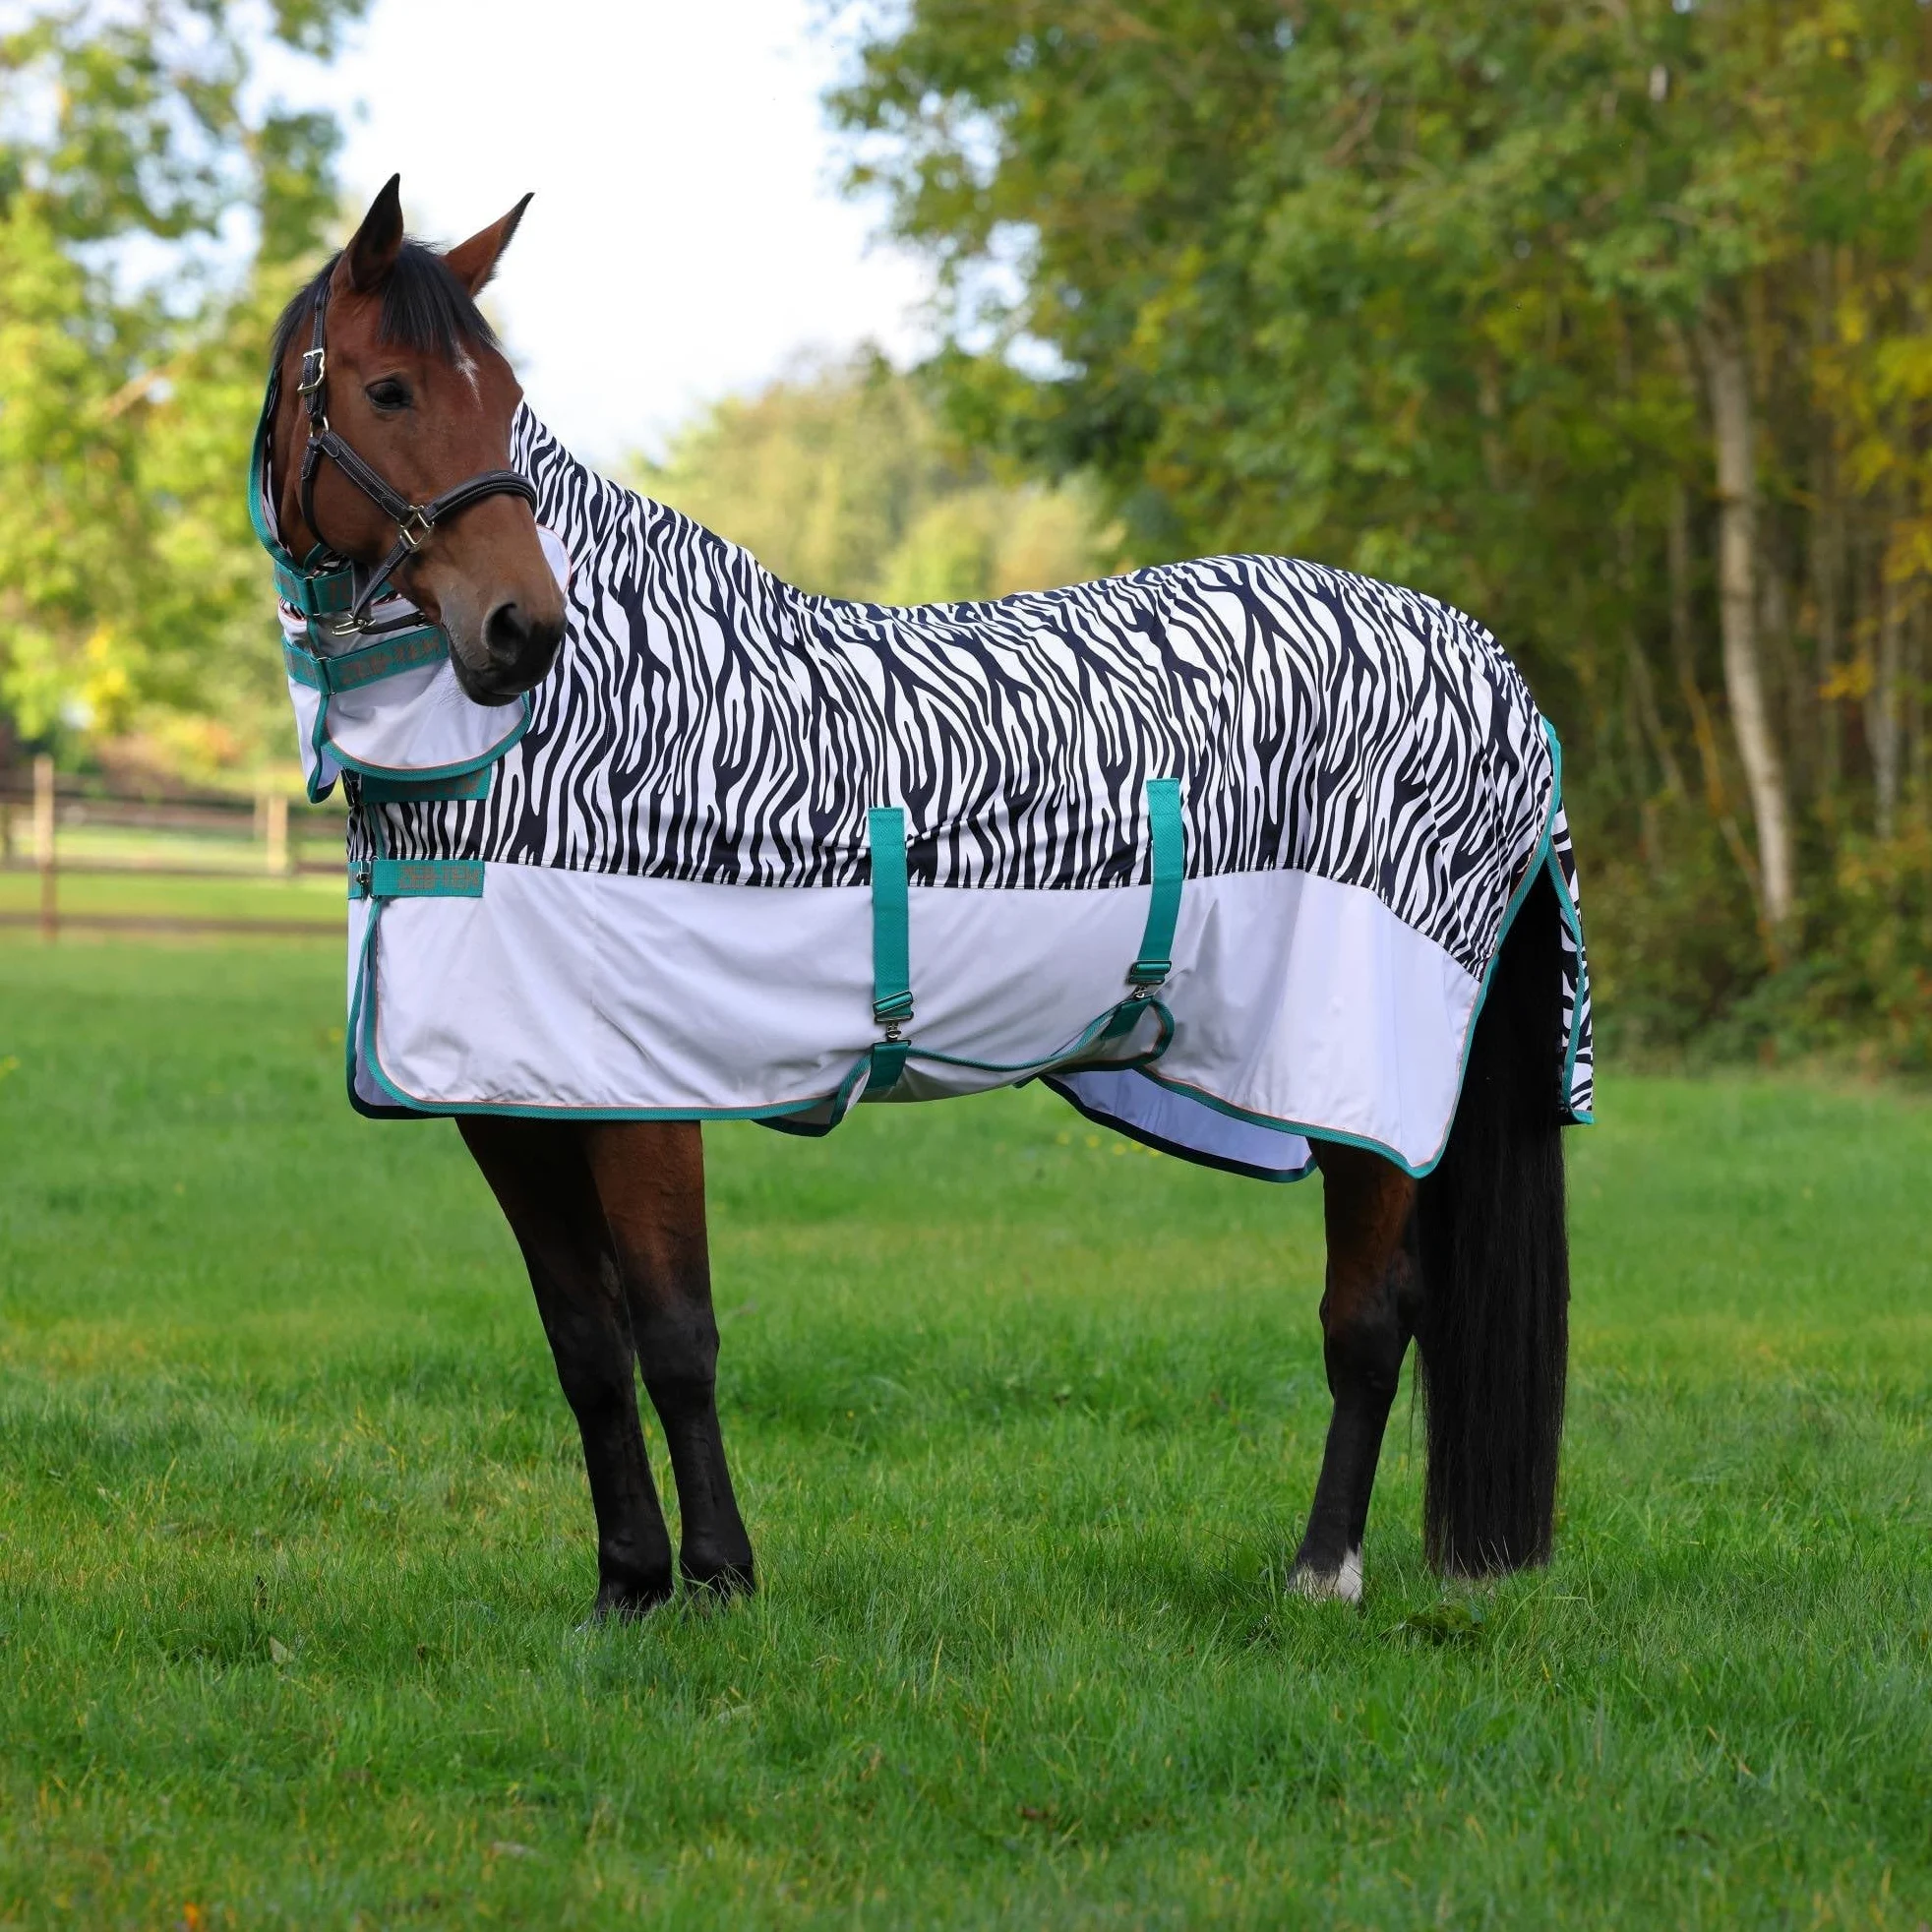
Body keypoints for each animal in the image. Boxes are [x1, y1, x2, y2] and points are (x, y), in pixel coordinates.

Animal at [253, 179, 1586, 1619]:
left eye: (502, 399)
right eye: (390, 390)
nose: (520, 631)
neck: (556, 735)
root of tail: (1488, 666)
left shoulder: (645, 1091)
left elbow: (674, 1335)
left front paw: (716, 1581)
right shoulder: (511, 1107)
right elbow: (586, 1346)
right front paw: (626, 1587)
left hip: (1362, 1077)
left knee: (1369, 1316)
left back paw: (1321, 1571)